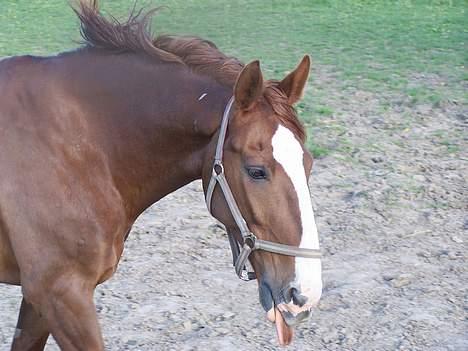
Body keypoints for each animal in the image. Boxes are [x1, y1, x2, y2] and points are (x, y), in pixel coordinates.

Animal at [0, 1, 322, 350]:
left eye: (308, 163)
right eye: (256, 171)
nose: (304, 294)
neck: (75, 146)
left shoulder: (40, 300)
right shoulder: (61, 294)